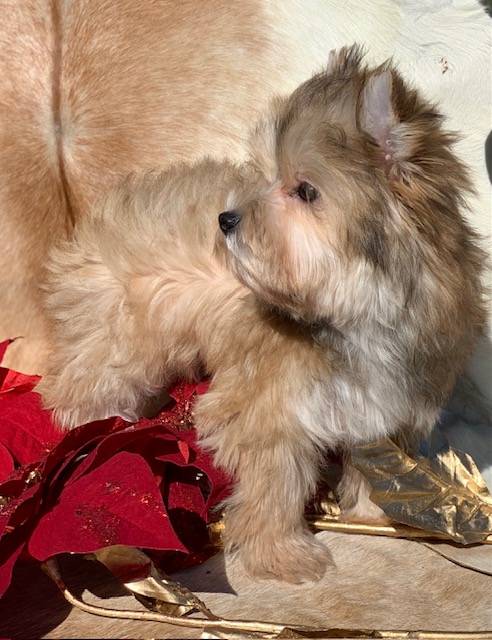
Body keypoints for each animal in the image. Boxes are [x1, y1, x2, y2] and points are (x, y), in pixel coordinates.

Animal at [38, 47, 484, 584]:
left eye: (306, 191)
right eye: (270, 177)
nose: (225, 220)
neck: (354, 312)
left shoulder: (385, 401)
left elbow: (374, 462)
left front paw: (372, 512)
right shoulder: (268, 408)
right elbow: (277, 480)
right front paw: (280, 552)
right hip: (118, 333)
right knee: (88, 378)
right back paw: (89, 425)